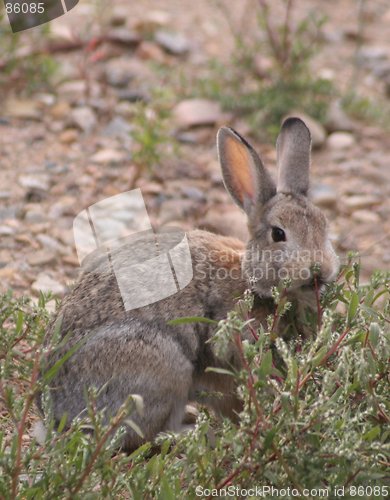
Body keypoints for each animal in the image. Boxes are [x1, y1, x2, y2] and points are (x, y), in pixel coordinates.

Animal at [38, 118, 340, 454]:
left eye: (324, 225)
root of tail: (56, 414)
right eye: (278, 234)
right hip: (162, 367)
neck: (251, 278)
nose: (322, 271)